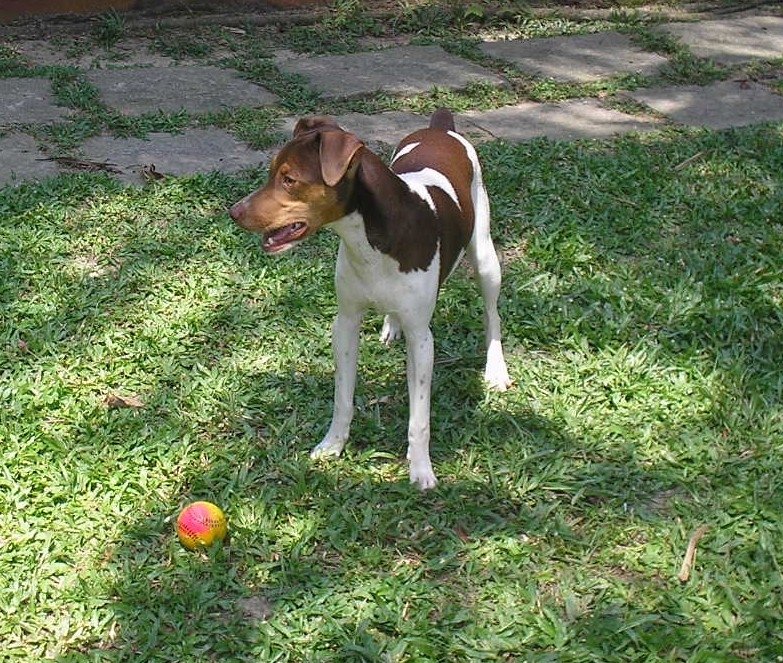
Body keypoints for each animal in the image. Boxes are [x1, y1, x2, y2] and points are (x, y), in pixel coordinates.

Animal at [231, 111, 516, 490]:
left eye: (289, 179)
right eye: (271, 172)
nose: (234, 212)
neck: (372, 241)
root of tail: (441, 128)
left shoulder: (422, 339)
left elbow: (419, 416)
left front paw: (421, 468)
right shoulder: (345, 323)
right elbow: (342, 398)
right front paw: (333, 445)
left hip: (485, 256)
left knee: (492, 314)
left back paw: (496, 369)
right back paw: (390, 327)